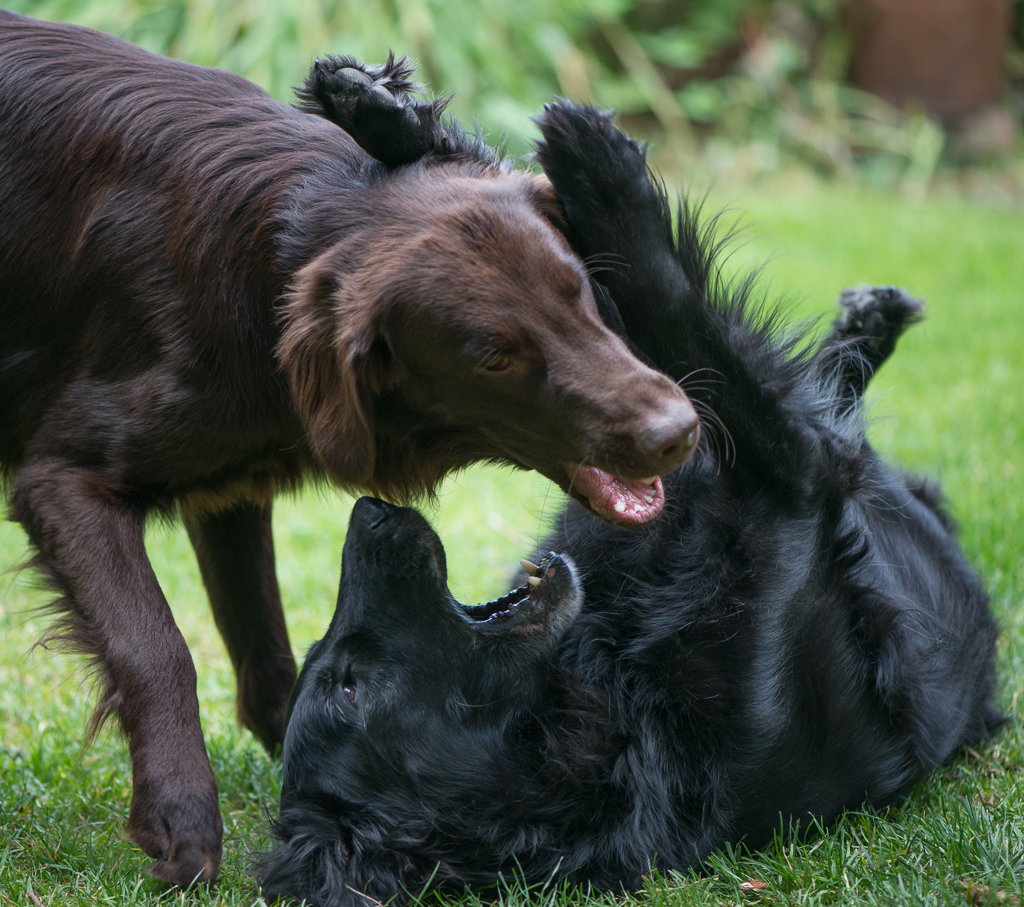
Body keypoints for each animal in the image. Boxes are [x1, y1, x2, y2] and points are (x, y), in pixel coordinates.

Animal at [0, 8, 696, 888]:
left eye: (581, 292)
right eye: (493, 356)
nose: (679, 431)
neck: (271, 242)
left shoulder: (227, 483)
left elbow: (267, 656)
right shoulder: (63, 478)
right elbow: (155, 645)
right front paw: (182, 814)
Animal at [258, 92, 999, 900]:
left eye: (332, 669)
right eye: (348, 687)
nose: (369, 511)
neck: (617, 700)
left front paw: (396, 120)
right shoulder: (797, 491)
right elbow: (700, 336)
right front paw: (608, 176)